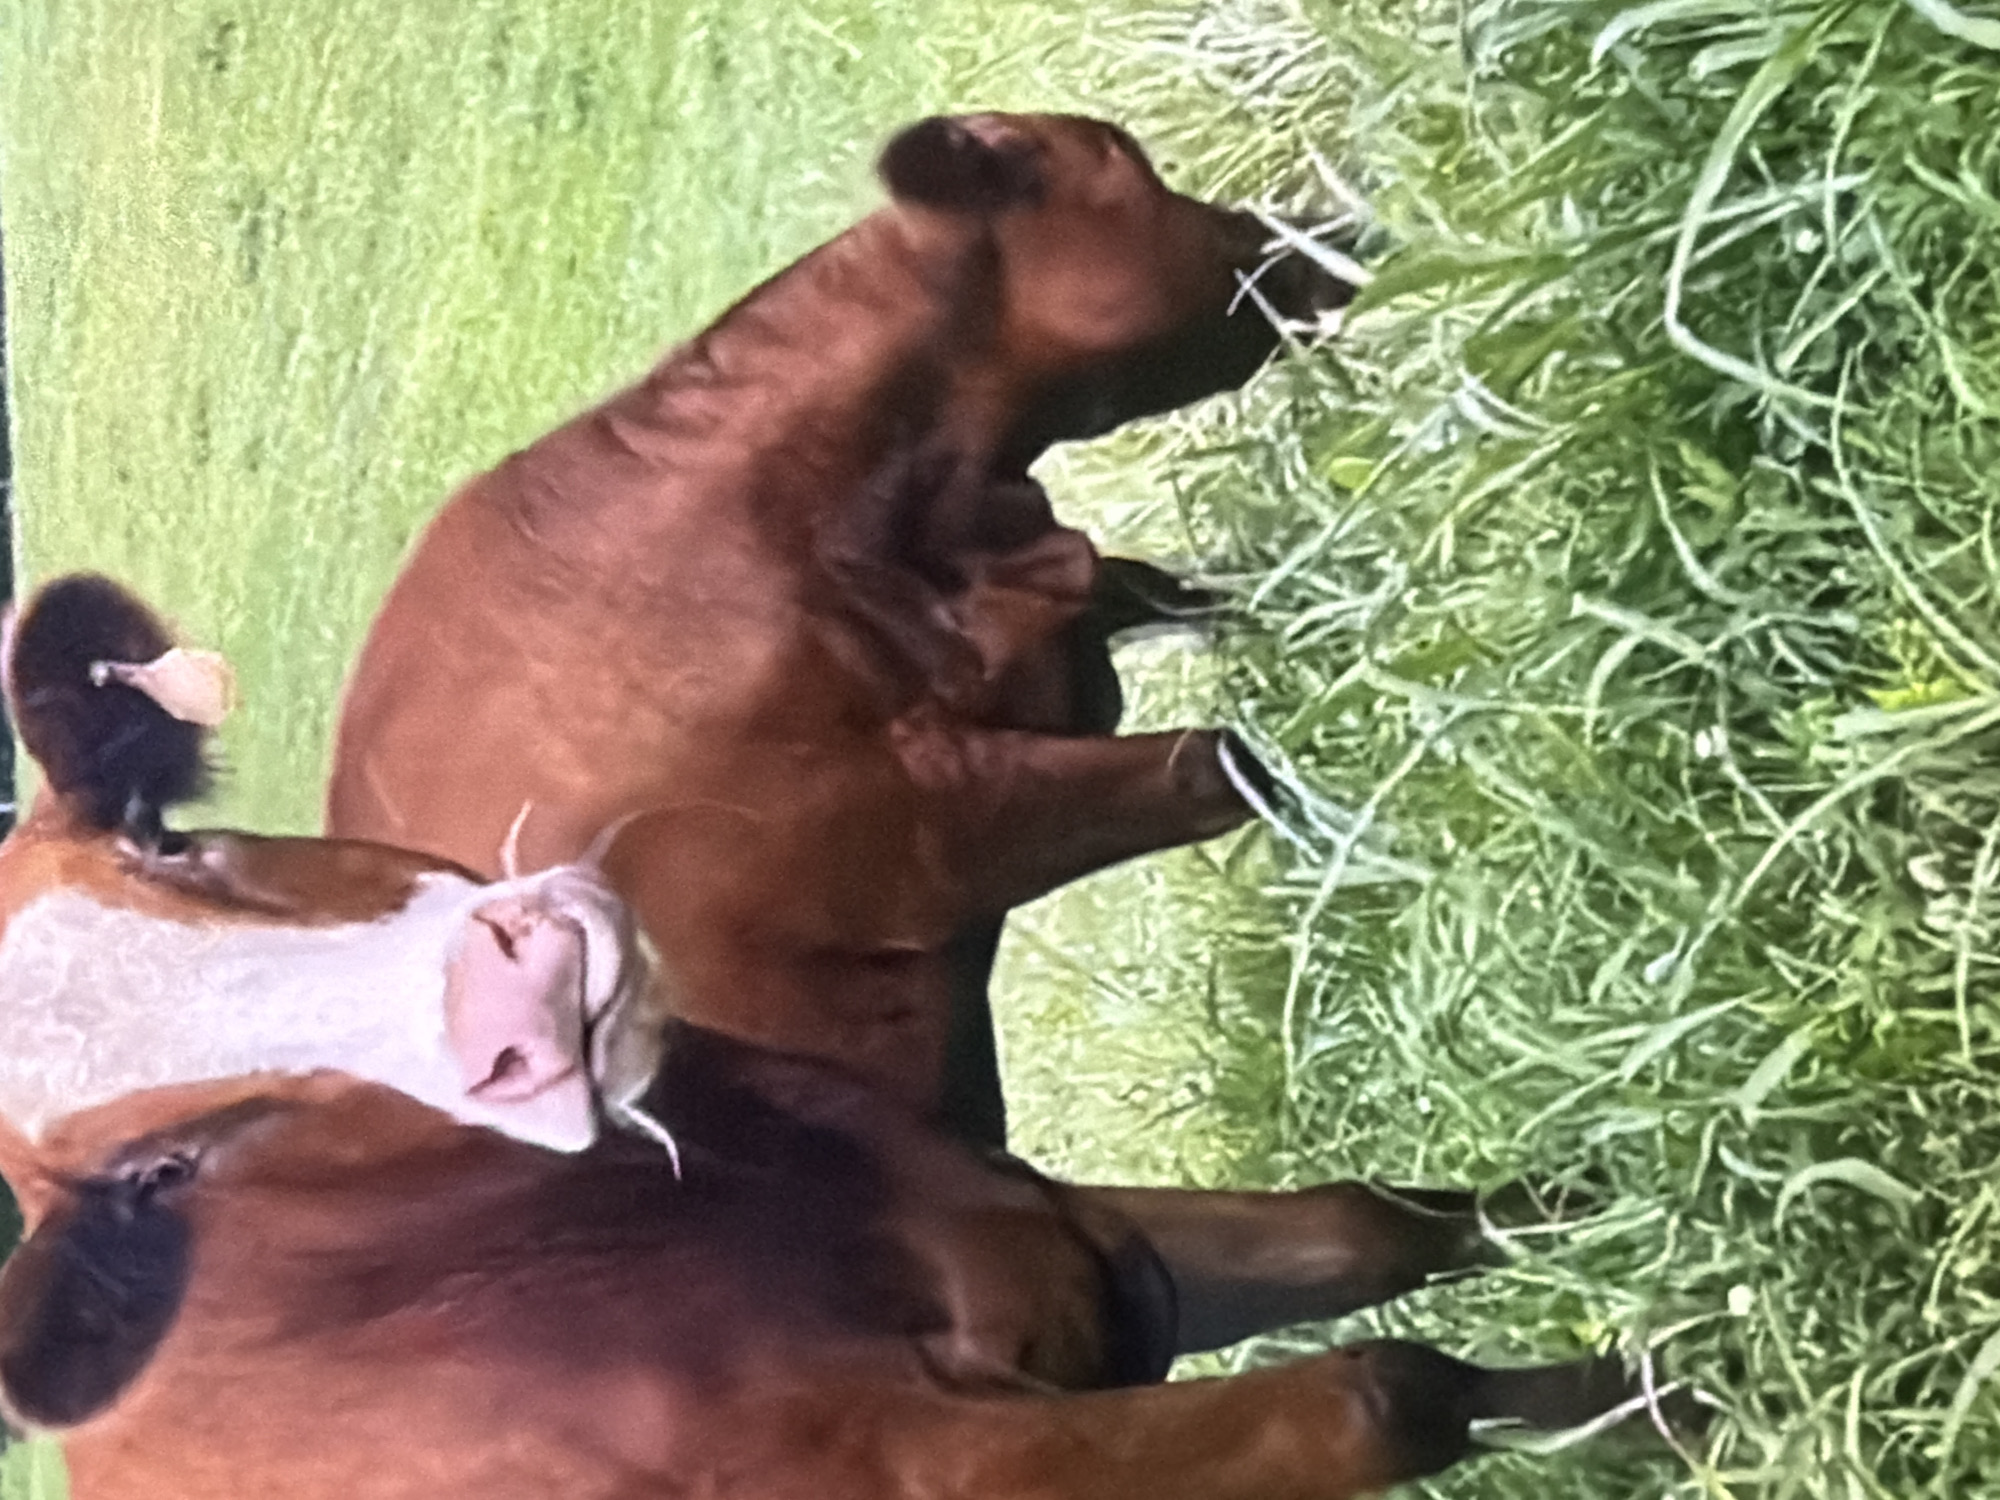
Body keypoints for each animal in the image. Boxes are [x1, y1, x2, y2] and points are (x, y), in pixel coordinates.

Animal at [0, 574, 1666, 1497]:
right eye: (158, 1171)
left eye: (167, 835)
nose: (504, 999)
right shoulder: (965, 1468)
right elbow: (1387, 1395)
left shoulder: (1059, 1234)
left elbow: (1379, 1230)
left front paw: (1671, 1353)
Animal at [327, 113, 1353, 1147]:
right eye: (1126, 167)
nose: (1336, 233)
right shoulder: (941, 833)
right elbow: (1218, 763)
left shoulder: (1072, 606)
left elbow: (1219, 593)